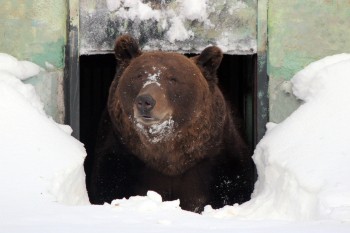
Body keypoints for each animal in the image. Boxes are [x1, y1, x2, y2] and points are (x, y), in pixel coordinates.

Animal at [88, 35, 254, 213]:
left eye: (173, 78)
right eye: (139, 75)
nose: (145, 101)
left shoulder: (218, 159)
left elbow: (232, 187)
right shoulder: (121, 156)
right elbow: (109, 186)